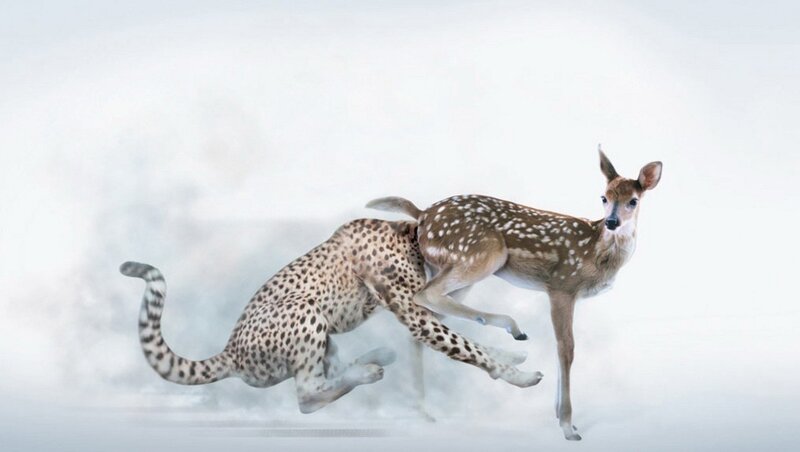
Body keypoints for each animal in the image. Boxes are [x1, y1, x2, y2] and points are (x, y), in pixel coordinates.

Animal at [367, 149, 662, 440]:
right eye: (604, 197)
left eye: (633, 201)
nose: (612, 222)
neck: (597, 251)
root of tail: (422, 214)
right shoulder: (562, 285)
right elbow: (566, 348)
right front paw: (568, 426)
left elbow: (561, 348)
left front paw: (560, 417)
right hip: (483, 253)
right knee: (425, 295)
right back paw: (512, 329)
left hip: (452, 267)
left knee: (425, 322)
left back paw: (424, 410)